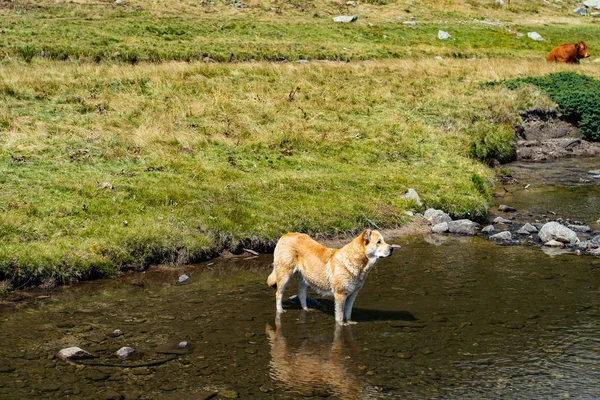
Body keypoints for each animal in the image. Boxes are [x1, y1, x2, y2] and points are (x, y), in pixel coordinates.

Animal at [266, 231, 398, 324]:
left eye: (383, 241)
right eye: (378, 242)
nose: (392, 248)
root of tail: (285, 234)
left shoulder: (353, 294)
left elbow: (348, 312)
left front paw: (349, 322)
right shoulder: (340, 295)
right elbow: (339, 315)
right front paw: (342, 325)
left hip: (304, 278)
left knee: (301, 294)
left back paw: (306, 309)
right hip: (285, 274)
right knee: (278, 293)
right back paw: (280, 310)